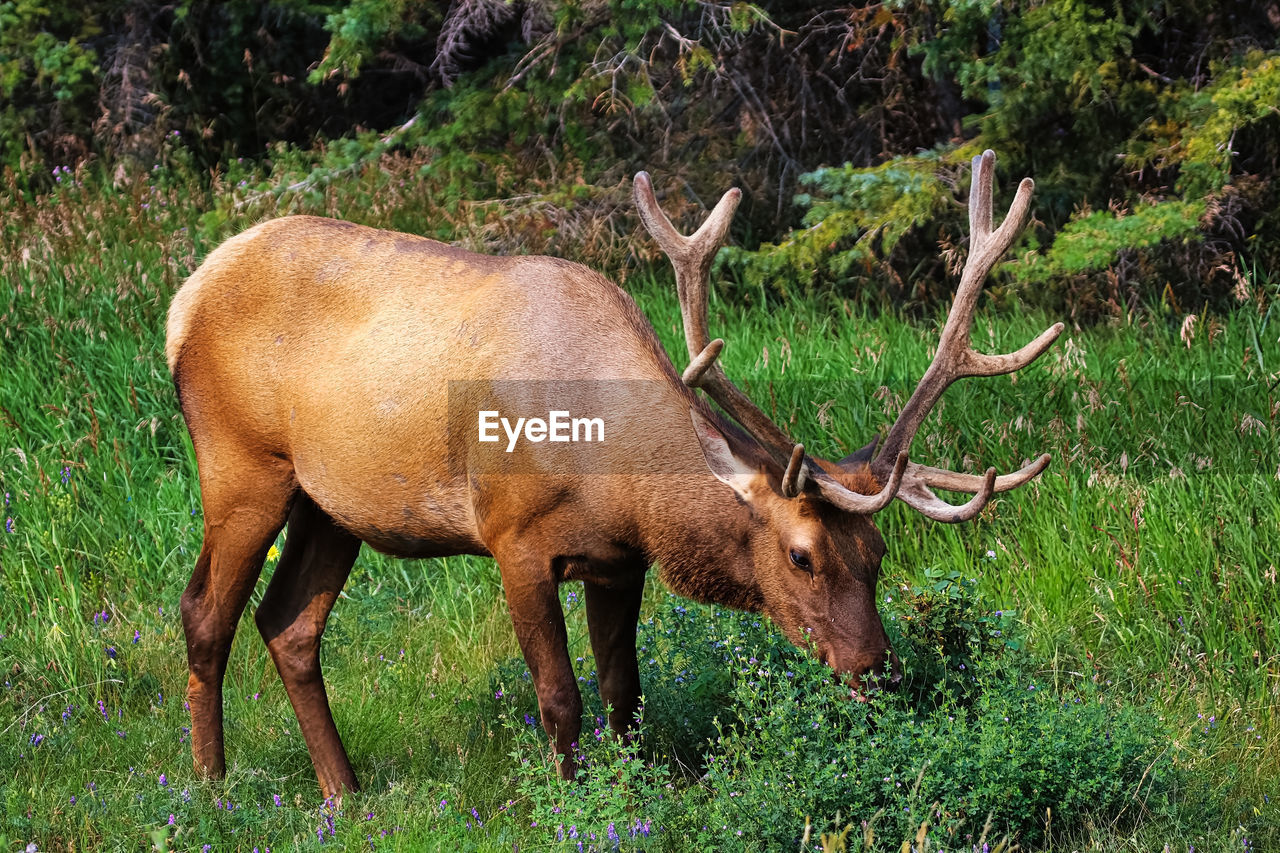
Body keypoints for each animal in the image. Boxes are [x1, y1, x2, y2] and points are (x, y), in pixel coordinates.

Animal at [162, 149, 1059, 794]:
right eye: (801, 554)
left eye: (878, 555)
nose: (876, 667)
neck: (619, 482)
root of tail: (183, 299)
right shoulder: (514, 538)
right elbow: (560, 699)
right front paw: (572, 801)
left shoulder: (619, 563)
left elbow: (624, 694)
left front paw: (629, 790)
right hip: (242, 463)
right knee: (205, 610)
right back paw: (212, 786)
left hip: (331, 503)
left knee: (288, 623)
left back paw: (344, 791)